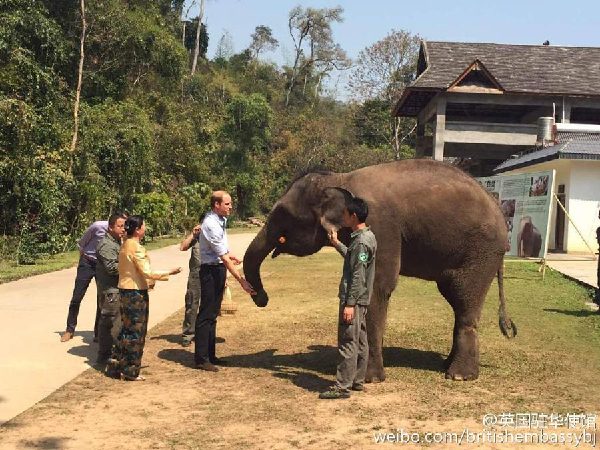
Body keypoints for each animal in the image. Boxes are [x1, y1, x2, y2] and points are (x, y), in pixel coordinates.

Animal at [243, 160, 516, 382]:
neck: (341, 179)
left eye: (283, 214)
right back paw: (448, 366)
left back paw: (459, 376)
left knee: (464, 299)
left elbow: (376, 286)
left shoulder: (381, 227)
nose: (262, 299)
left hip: (480, 252)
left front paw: (370, 379)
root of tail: (498, 209)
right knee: (456, 299)